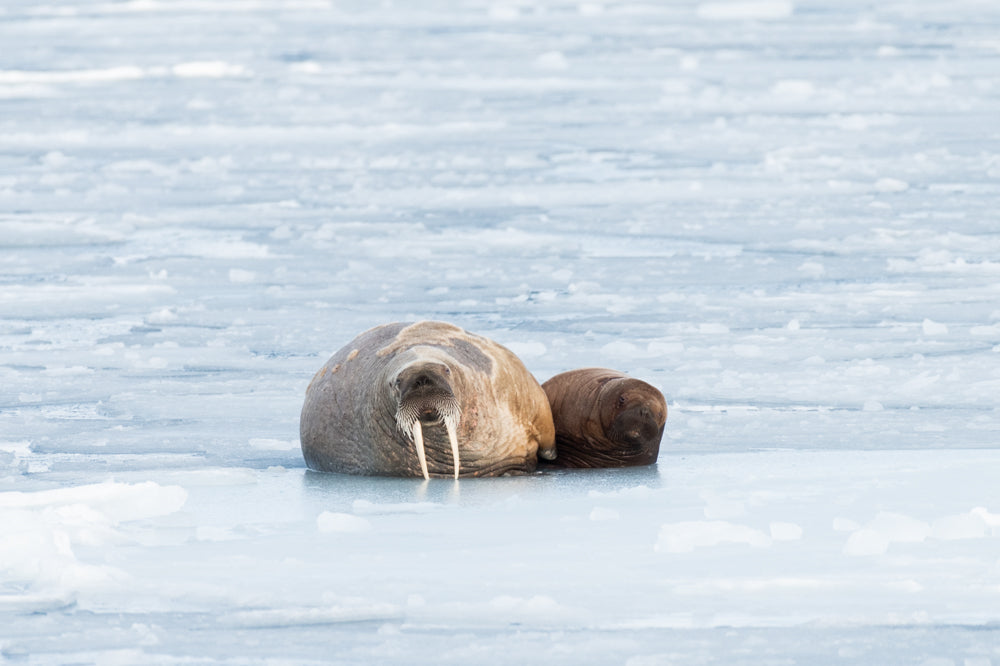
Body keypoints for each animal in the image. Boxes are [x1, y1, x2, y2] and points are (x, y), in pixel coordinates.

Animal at [300, 320, 560, 474]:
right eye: (397, 381)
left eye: (446, 370)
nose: (422, 379)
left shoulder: (522, 389)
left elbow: (546, 434)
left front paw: (551, 454)